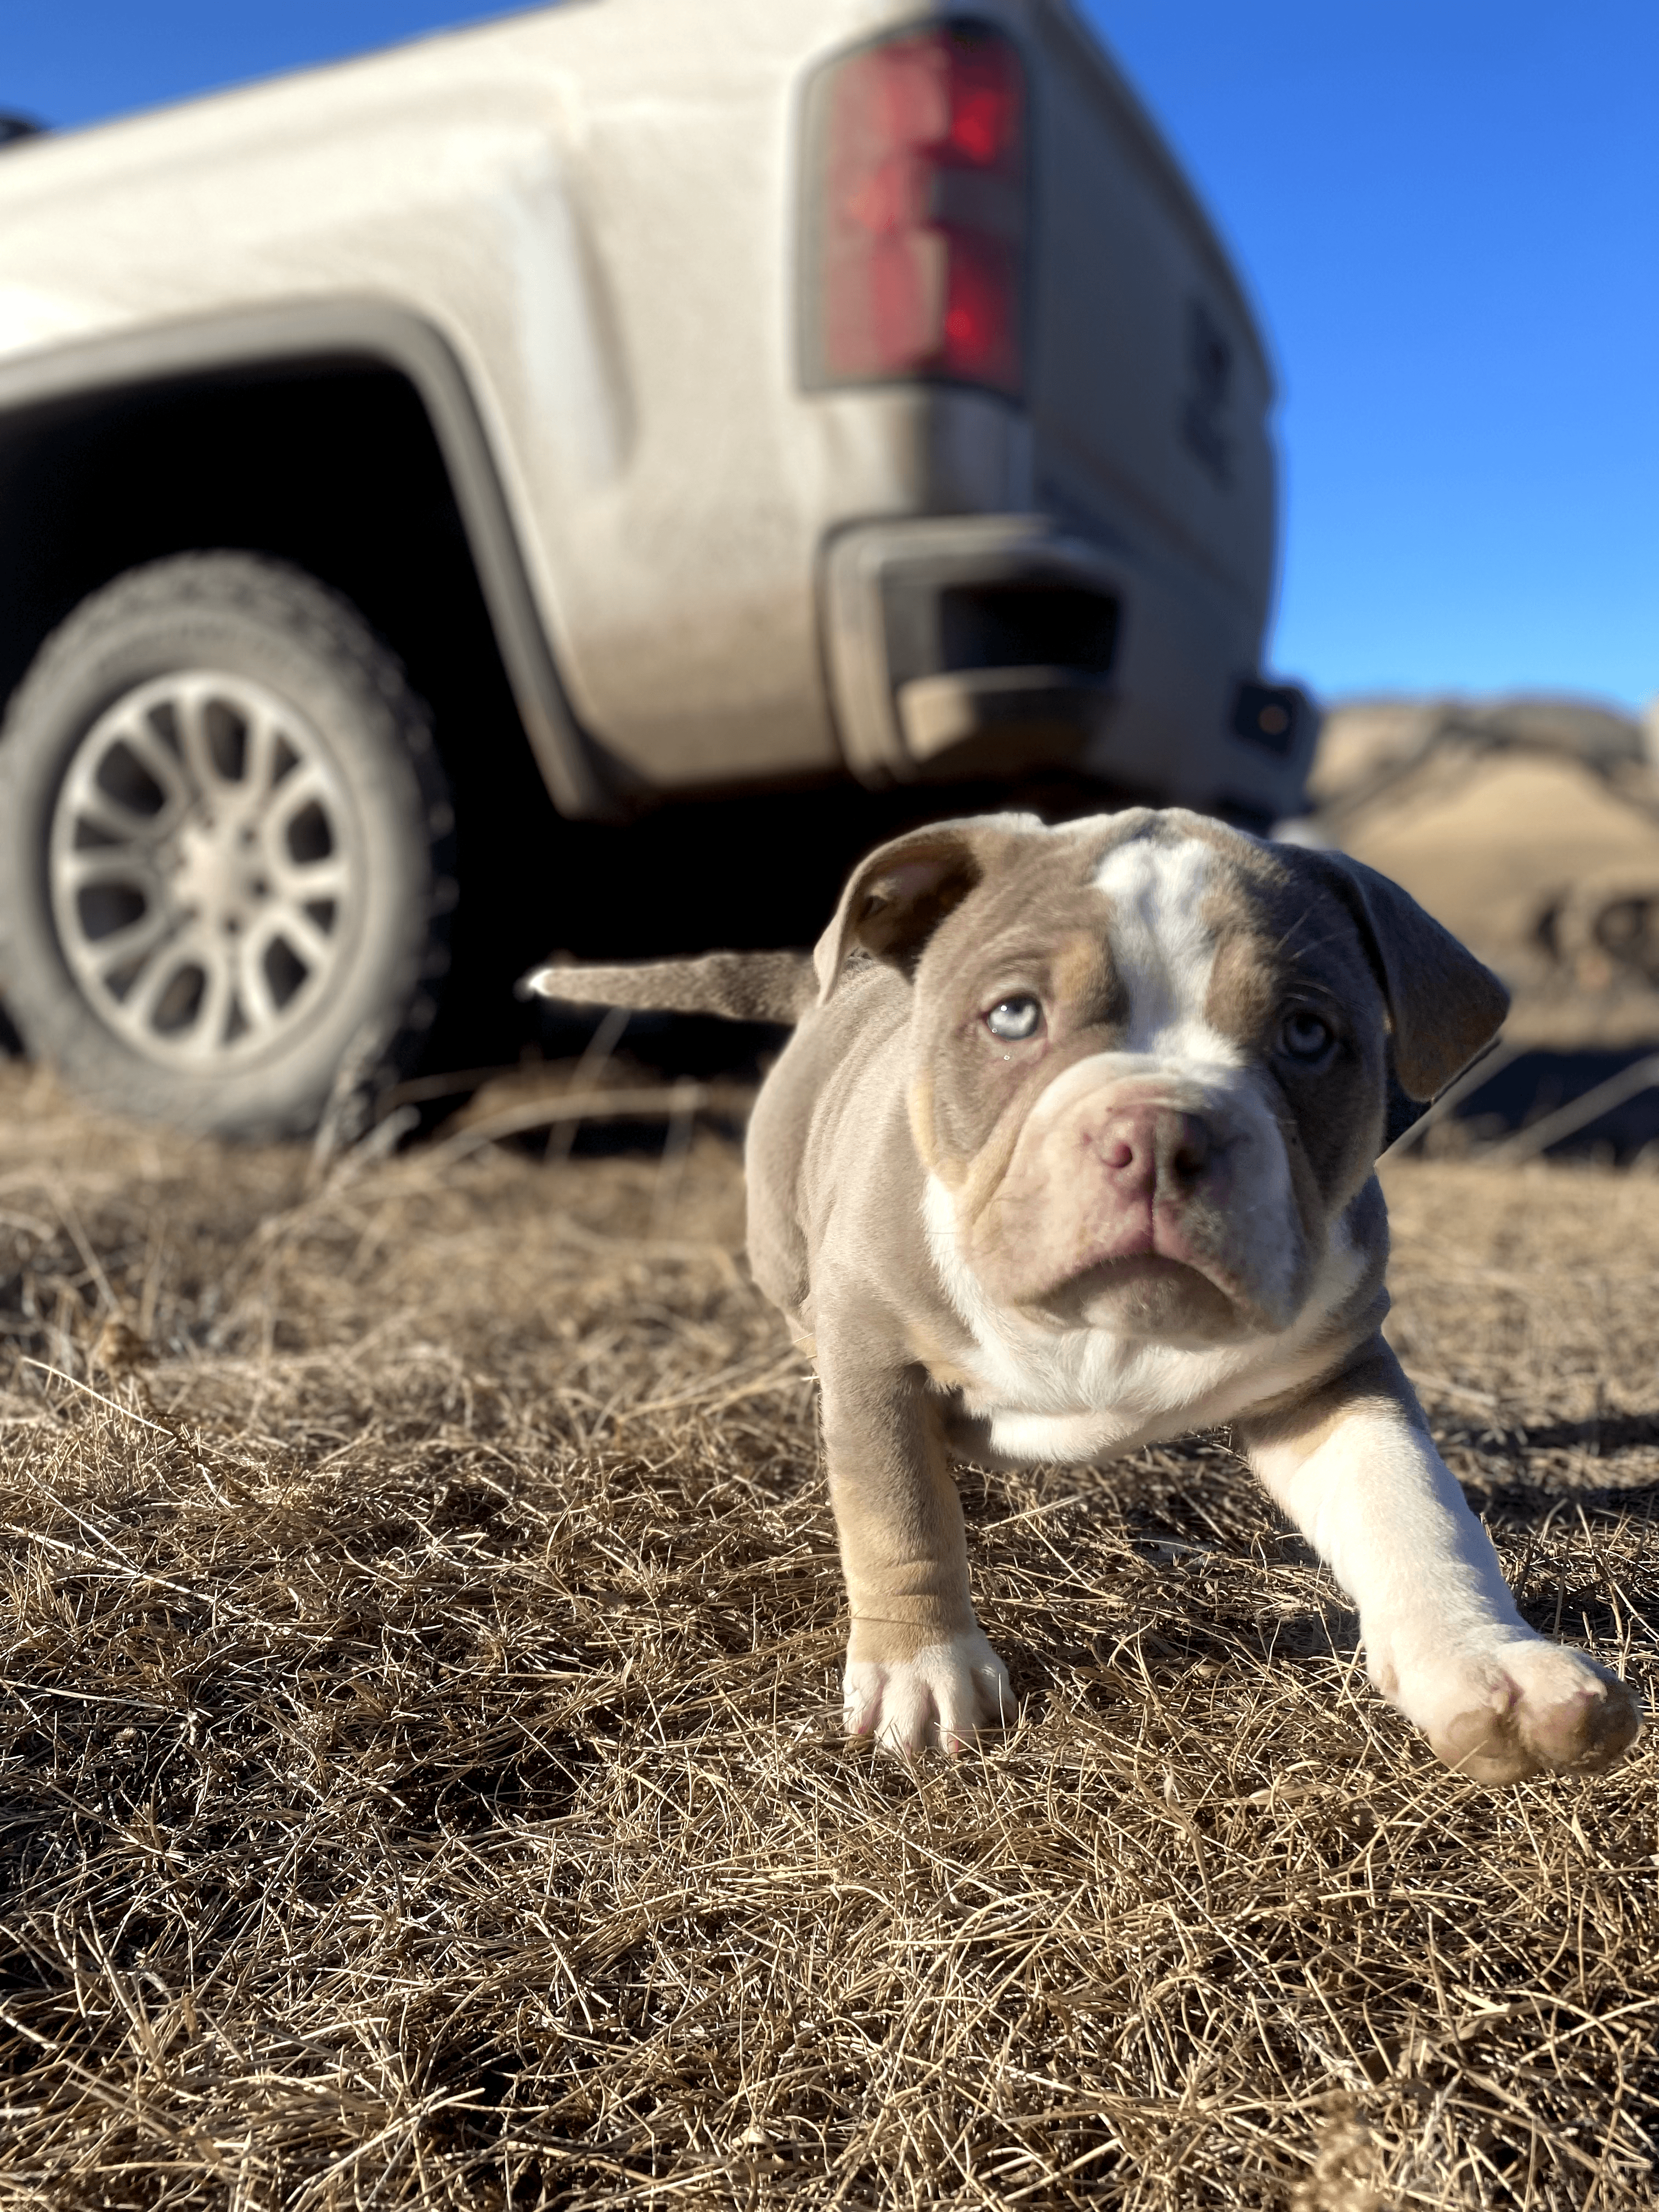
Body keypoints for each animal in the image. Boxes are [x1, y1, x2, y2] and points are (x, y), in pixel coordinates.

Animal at [526, 809, 1645, 1778]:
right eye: (1014, 1015)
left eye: (1306, 1034)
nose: (1158, 1131)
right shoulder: (874, 1350)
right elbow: (896, 1510)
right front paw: (918, 1673)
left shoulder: (1329, 1374)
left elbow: (1410, 1502)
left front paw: (1490, 1665)